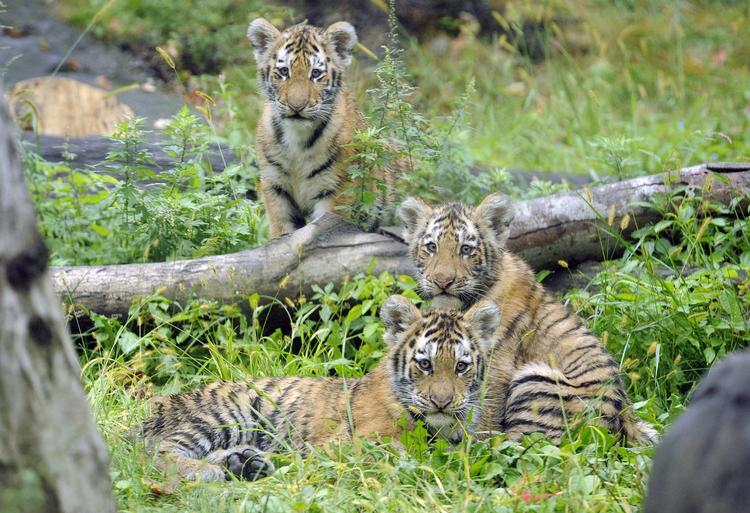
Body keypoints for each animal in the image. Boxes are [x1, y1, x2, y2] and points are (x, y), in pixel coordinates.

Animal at [136, 295, 500, 481]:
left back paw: (246, 464)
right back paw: (211, 472)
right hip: (224, 415)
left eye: (461, 366)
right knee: (155, 452)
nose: (442, 402)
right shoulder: (348, 442)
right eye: (424, 364)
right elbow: (391, 452)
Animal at [247, 18, 392, 238]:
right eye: (284, 72)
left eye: (315, 73)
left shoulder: (337, 190)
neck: (296, 138)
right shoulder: (276, 188)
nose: (296, 106)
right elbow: (282, 233)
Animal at [397, 193, 657, 445]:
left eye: (466, 249)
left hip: (535, 381)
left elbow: (483, 417)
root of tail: (624, 420)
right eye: (431, 247)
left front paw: (470, 451)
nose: (442, 281)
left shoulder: (495, 368)